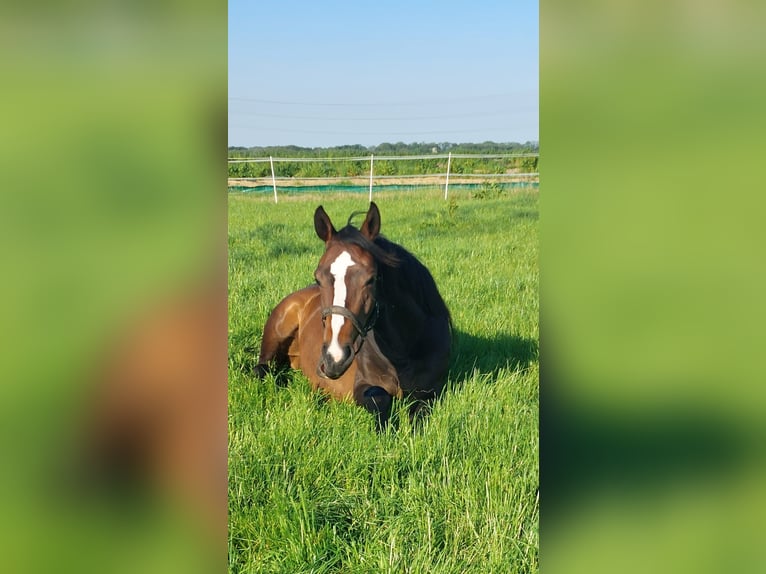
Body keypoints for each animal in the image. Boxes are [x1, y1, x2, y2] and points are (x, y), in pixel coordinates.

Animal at [255, 200, 452, 430]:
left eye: (371, 278)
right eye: (318, 277)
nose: (335, 358)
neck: (404, 350)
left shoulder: (431, 391)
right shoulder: (361, 385)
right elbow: (378, 397)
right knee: (262, 369)